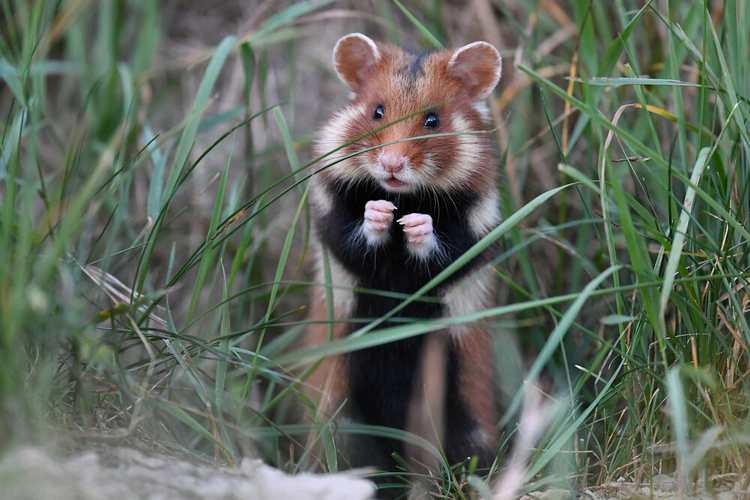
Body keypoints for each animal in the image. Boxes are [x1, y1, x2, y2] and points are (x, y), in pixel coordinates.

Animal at [304, 33, 502, 485]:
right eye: (376, 111)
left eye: (433, 120)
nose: (392, 165)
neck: (405, 195)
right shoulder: (331, 220)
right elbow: (355, 234)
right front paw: (381, 212)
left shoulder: (475, 232)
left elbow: (443, 249)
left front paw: (413, 224)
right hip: (339, 409)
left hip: (464, 409)